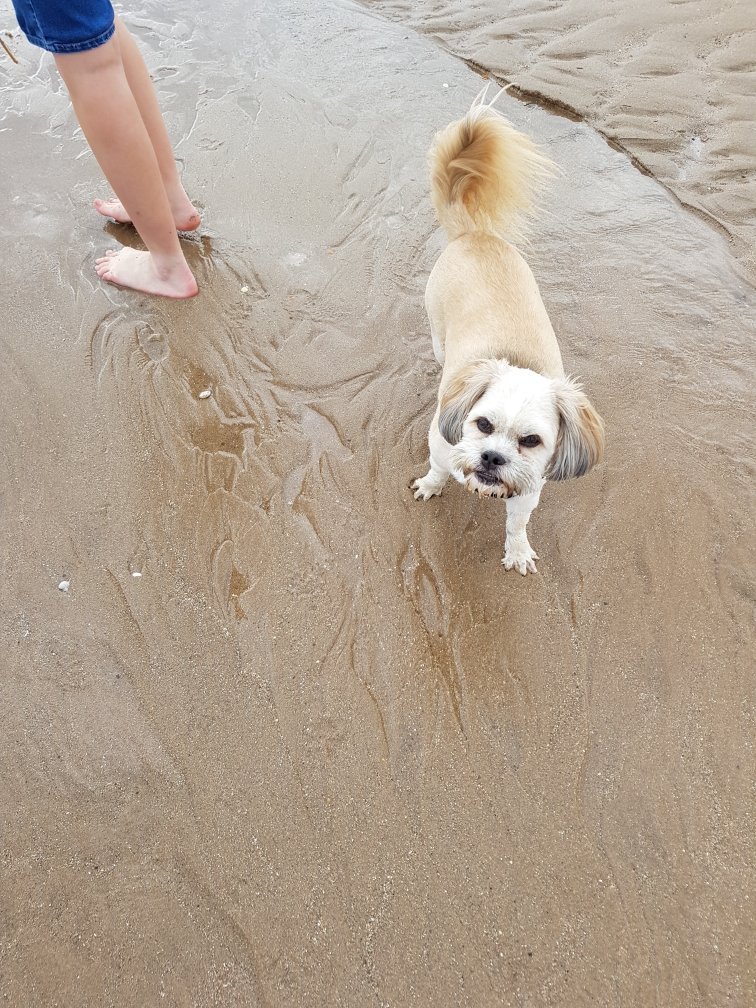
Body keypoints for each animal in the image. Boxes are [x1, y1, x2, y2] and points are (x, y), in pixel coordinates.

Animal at [411, 93, 608, 576]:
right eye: (482, 424)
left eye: (531, 442)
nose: (492, 457)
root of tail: (475, 233)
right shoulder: (441, 447)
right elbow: (438, 469)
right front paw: (431, 485)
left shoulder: (530, 489)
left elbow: (517, 524)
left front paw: (517, 551)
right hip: (438, 334)